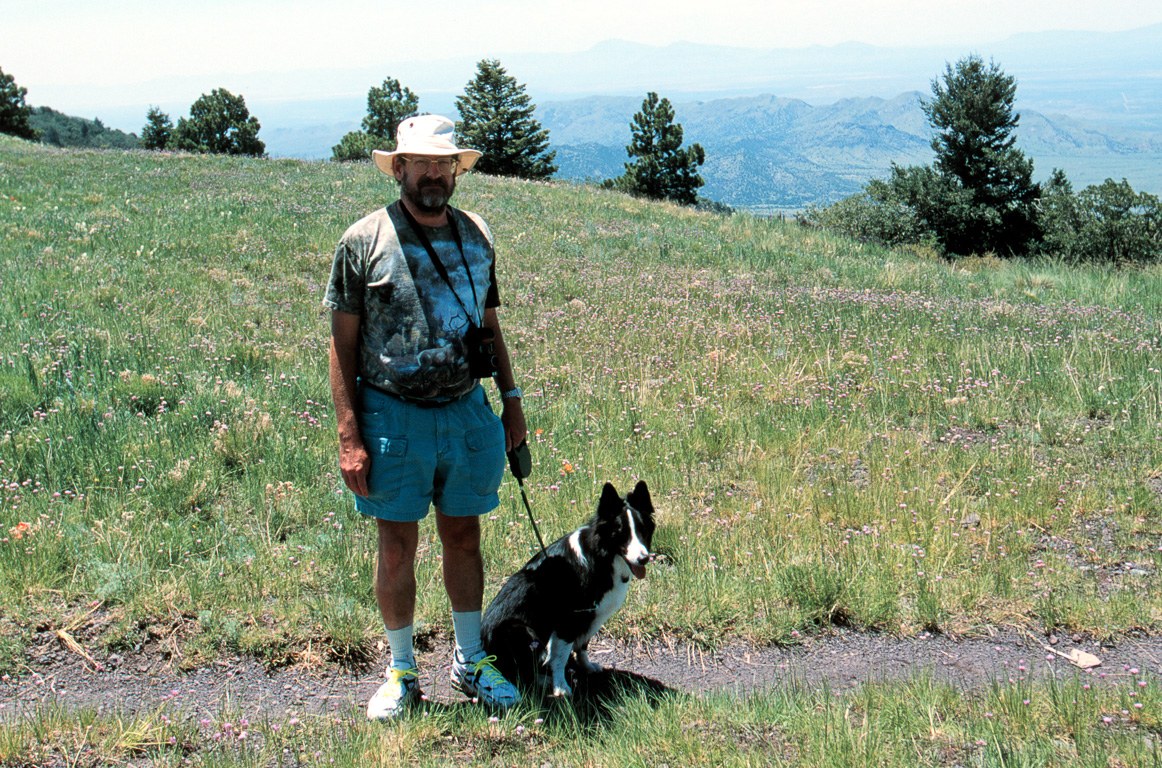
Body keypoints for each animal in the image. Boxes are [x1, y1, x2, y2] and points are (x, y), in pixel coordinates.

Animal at [483, 478, 660, 697]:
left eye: (643, 531)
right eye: (622, 534)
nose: (644, 559)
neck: (601, 557)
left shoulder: (590, 617)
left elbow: (582, 645)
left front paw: (585, 667)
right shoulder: (568, 621)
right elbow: (560, 656)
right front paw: (561, 686)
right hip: (521, 630)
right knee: (520, 673)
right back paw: (544, 680)